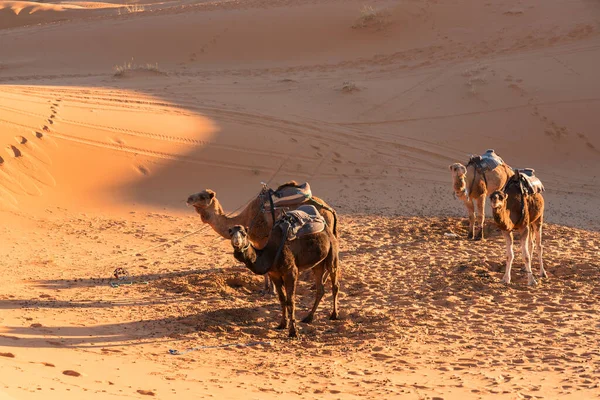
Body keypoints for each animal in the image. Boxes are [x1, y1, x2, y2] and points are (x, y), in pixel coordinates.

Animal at [188, 183, 338, 292]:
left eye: (203, 196)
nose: (188, 198)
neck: (247, 218)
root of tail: (330, 210)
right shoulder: (256, 241)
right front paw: (266, 288)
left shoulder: (263, 239)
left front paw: (270, 290)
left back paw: (319, 283)